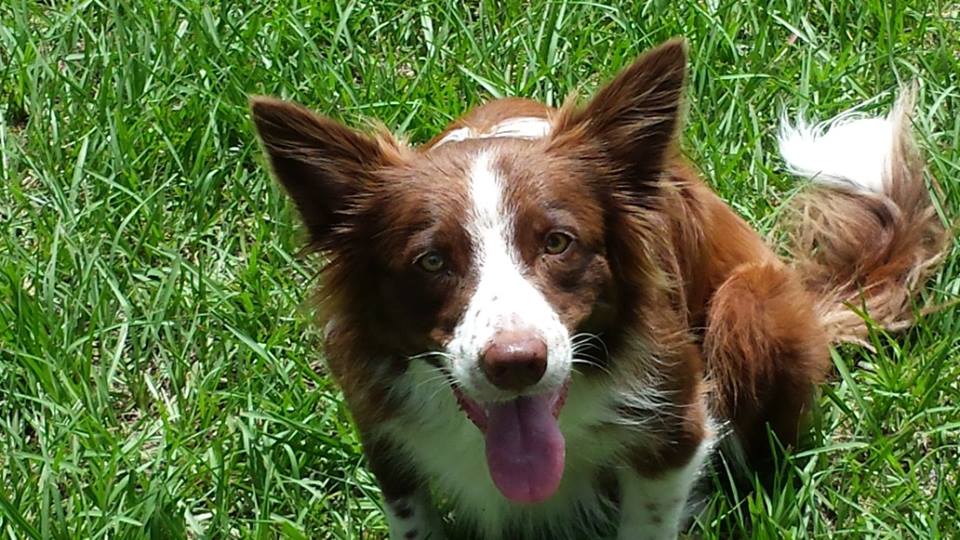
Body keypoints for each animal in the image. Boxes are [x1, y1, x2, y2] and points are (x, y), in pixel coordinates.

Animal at [248, 39, 944, 540]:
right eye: (431, 261)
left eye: (558, 242)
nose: (516, 364)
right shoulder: (385, 436)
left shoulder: (676, 426)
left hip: (749, 305)